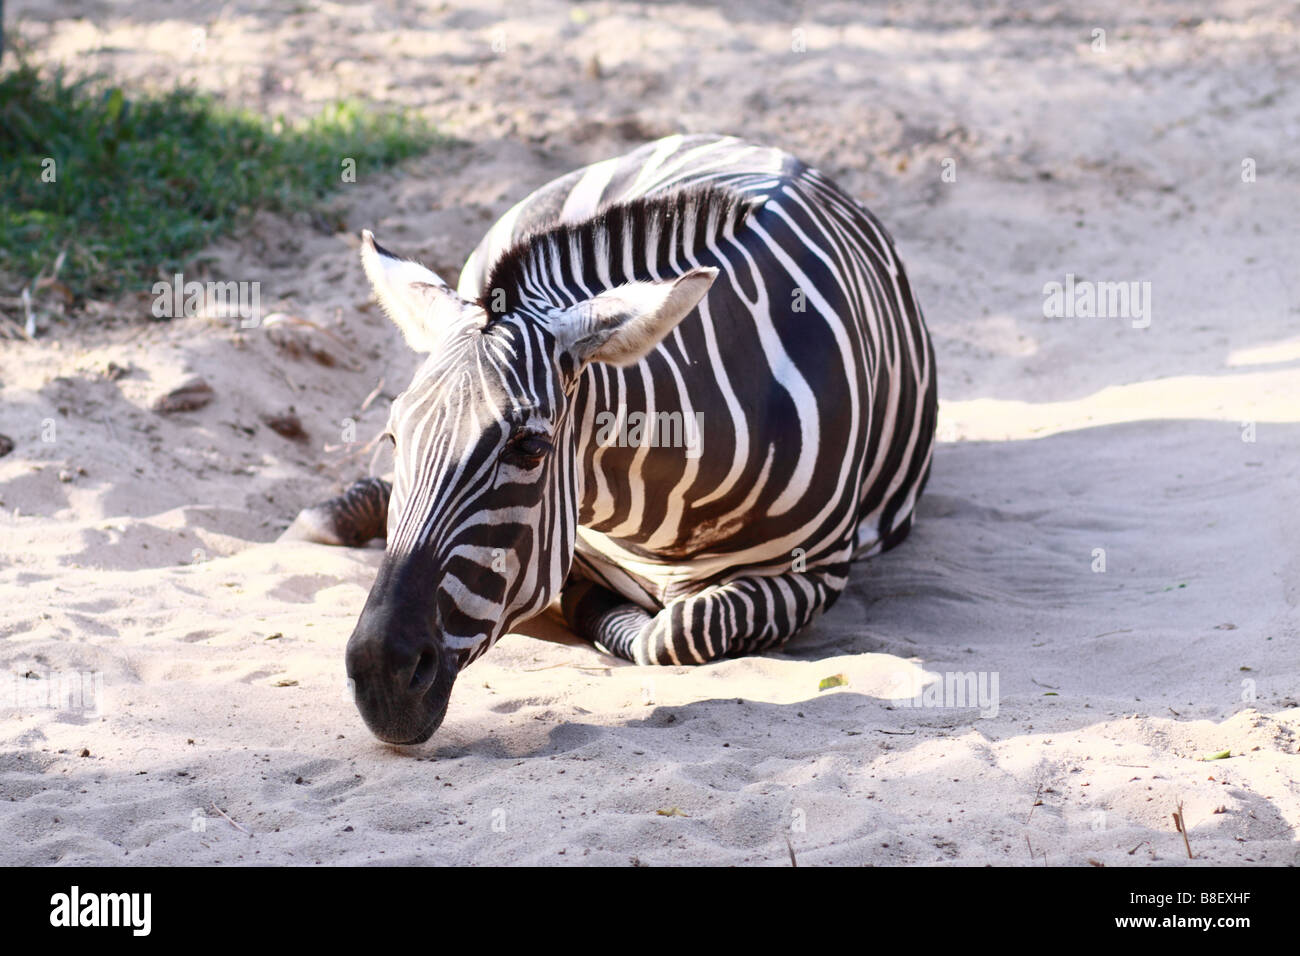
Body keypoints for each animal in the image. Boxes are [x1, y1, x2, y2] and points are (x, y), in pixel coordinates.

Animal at [287, 136, 935, 749]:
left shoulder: (814, 573)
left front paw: (592, 606)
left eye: (530, 448)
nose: (380, 675)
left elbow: (679, 630)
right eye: (394, 437)